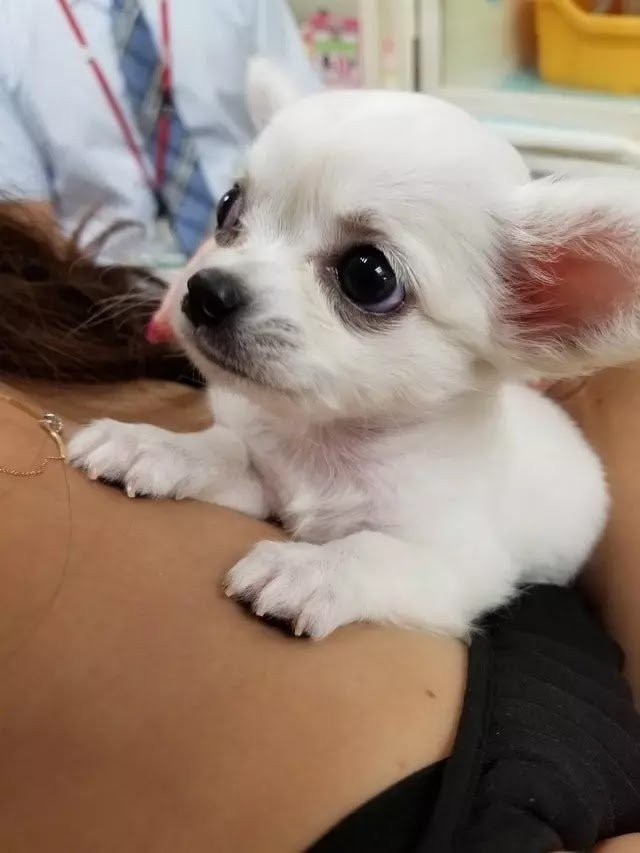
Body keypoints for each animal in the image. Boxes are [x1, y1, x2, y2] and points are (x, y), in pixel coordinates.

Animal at [69, 60, 640, 640]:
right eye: (228, 209)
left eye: (368, 275)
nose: (205, 291)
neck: (325, 446)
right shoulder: (262, 483)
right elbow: (224, 448)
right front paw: (153, 444)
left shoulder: (457, 567)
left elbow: (370, 550)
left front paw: (307, 569)